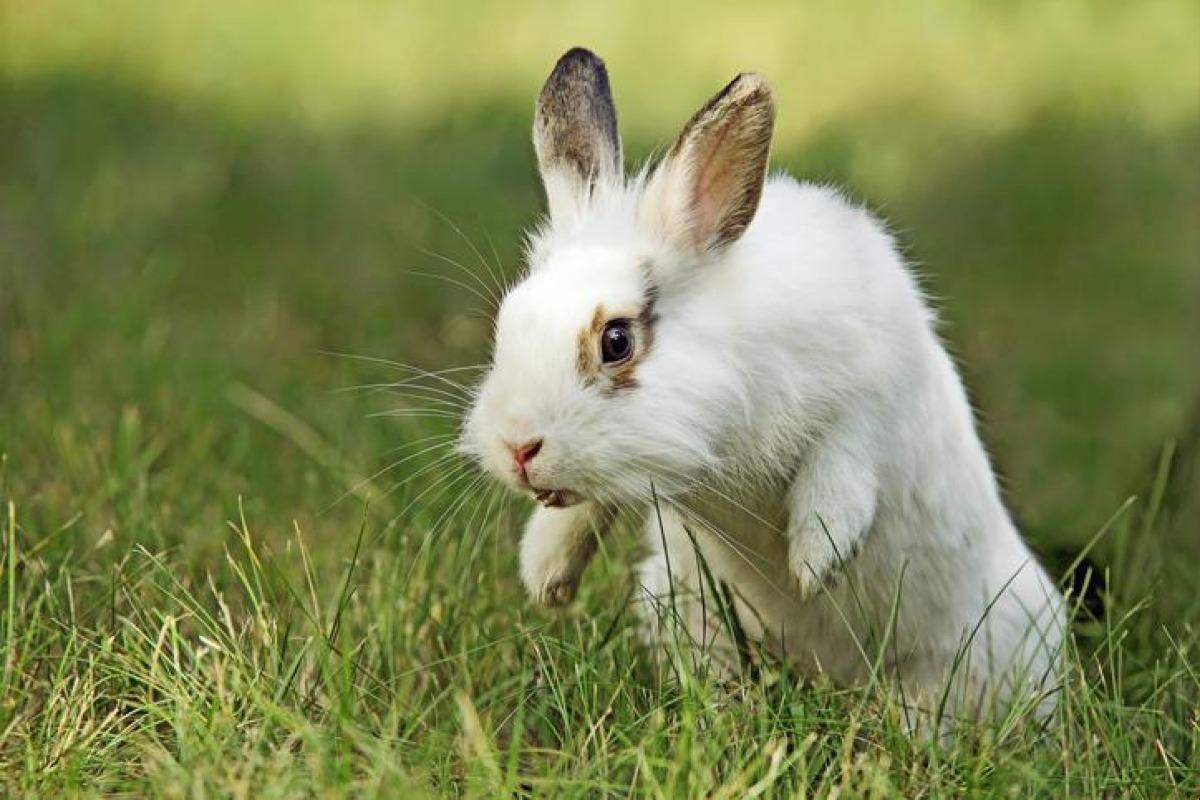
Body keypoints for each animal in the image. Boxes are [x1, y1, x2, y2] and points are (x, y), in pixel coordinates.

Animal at [460, 47, 1065, 726]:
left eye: (616, 340)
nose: (517, 448)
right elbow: (583, 510)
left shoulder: (871, 385)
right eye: (509, 319)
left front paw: (815, 561)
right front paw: (545, 576)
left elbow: (843, 461)